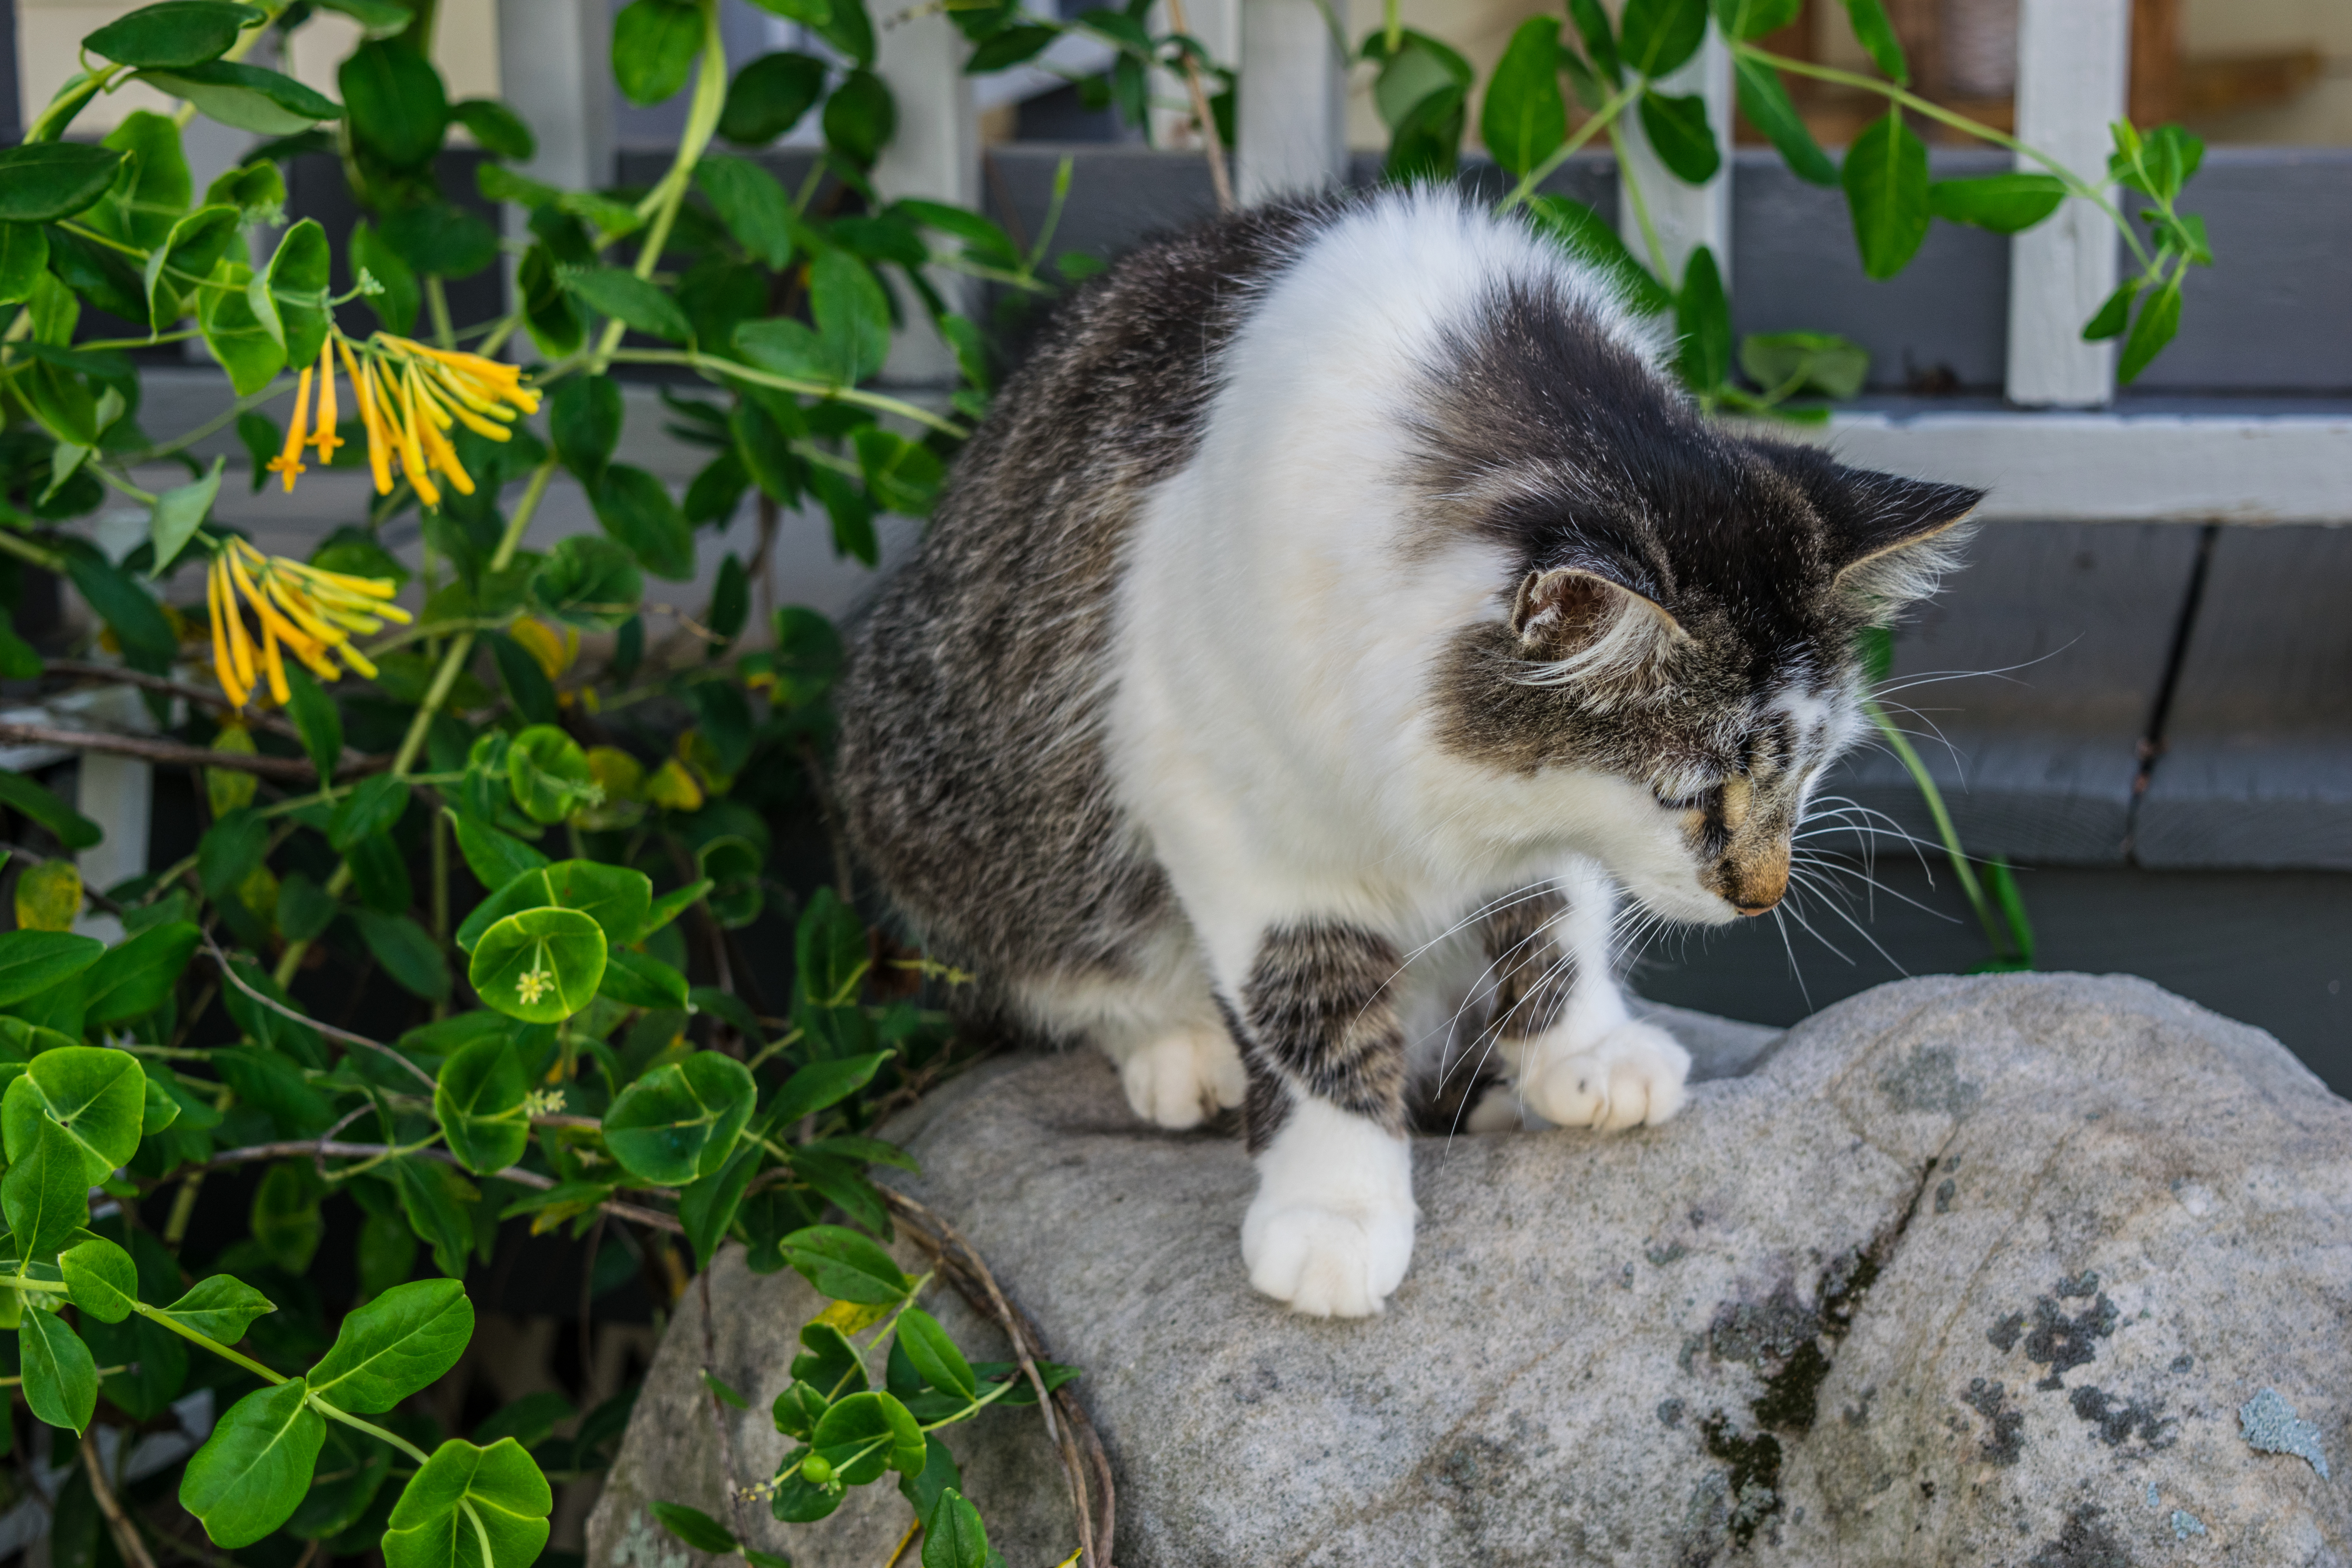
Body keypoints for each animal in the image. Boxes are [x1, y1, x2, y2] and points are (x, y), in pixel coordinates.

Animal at [837, 181, 1976, 1316]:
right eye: (1689, 796)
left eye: (1810, 769)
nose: (1763, 897)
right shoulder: (1234, 817)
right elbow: (1311, 1013)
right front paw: (1335, 1210)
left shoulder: (1526, 811)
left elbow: (1554, 913)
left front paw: (1582, 1054)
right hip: (946, 800)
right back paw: (1179, 1047)